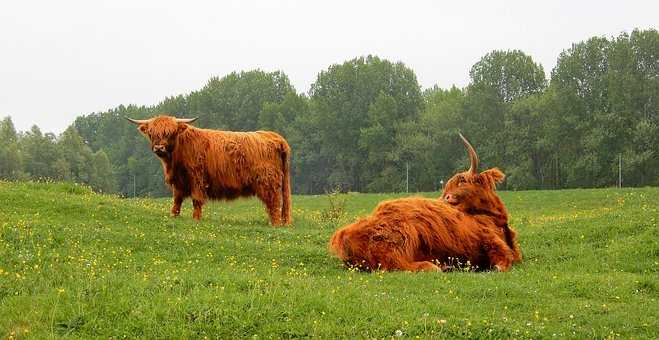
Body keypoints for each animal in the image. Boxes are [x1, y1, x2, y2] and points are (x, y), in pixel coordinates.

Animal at [126, 115, 292, 226]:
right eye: (151, 133)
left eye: (170, 133)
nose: (159, 148)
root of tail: (276, 137)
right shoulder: (179, 182)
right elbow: (177, 200)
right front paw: (173, 216)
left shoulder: (197, 178)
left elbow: (196, 200)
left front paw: (196, 219)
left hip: (268, 183)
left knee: (274, 203)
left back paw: (275, 224)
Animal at [330, 134, 520, 272]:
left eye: (462, 182)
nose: (446, 198)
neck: (497, 218)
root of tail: (344, 235)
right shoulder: (489, 239)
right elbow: (505, 257)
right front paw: (496, 267)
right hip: (403, 235)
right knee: (396, 263)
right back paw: (433, 266)